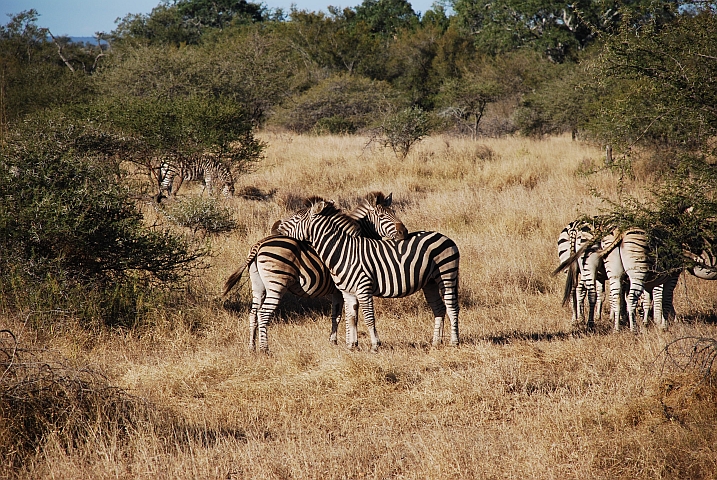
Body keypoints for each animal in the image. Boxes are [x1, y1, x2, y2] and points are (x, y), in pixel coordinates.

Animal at [223, 192, 407, 353]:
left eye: (394, 213)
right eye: (383, 216)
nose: (404, 232)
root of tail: (258, 245)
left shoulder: (339, 291)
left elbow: (337, 315)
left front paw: (335, 341)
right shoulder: (343, 289)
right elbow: (345, 315)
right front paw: (347, 342)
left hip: (258, 286)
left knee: (253, 314)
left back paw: (252, 347)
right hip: (276, 285)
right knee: (263, 313)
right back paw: (264, 349)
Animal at [274, 198, 460, 352]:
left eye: (296, 218)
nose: (275, 229)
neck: (342, 251)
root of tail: (445, 237)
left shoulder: (364, 288)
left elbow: (369, 318)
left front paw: (375, 345)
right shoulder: (347, 292)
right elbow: (351, 318)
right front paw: (351, 346)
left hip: (446, 274)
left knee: (452, 307)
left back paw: (454, 342)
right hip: (430, 282)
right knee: (439, 308)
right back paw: (436, 343)